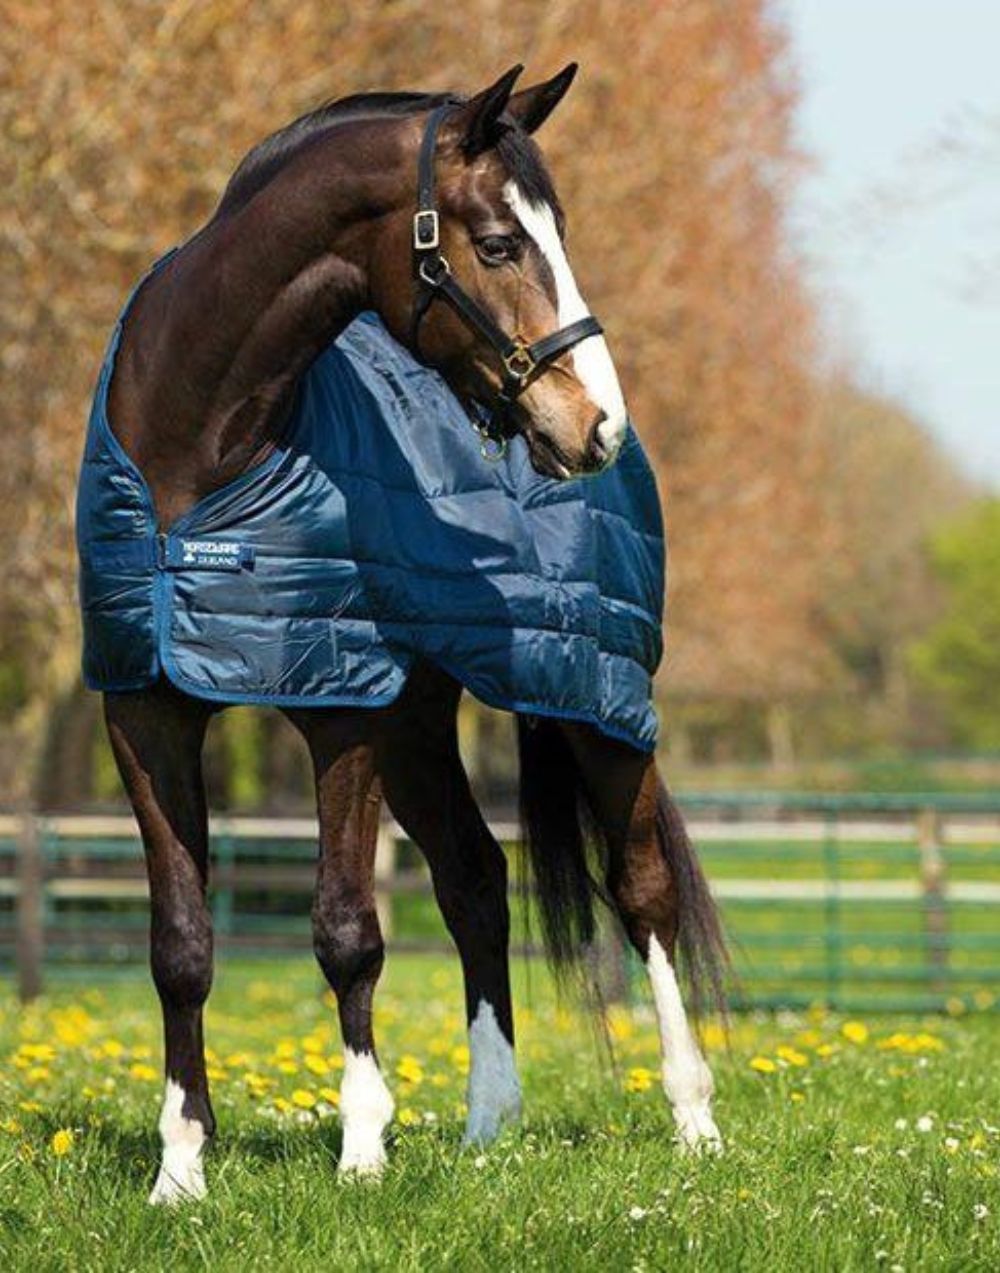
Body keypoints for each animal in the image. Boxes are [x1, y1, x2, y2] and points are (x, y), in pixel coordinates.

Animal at [88, 64, 726, 1203]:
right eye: (501, 243)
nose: (595, 424)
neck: (196, 453)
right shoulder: (146, 708)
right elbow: (180, 942)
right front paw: (181, 1169)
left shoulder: (341, 708)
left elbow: (347, 928)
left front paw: (362, 1152)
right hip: (421, 728)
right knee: (475, 883)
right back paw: (488, 1123)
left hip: (593, 695)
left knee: (642, 888)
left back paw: (693, 1119)